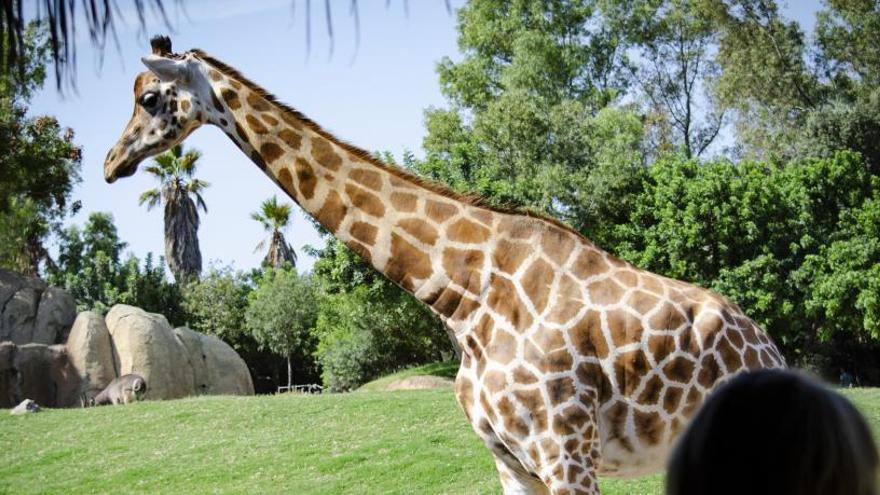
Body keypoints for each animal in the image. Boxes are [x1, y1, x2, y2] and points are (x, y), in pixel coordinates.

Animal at [103, 36, 784, 494]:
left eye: (150, 97)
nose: (110, 163)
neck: (465, 296)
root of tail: (768, 345)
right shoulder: (511, 460)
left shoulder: (567, 452)